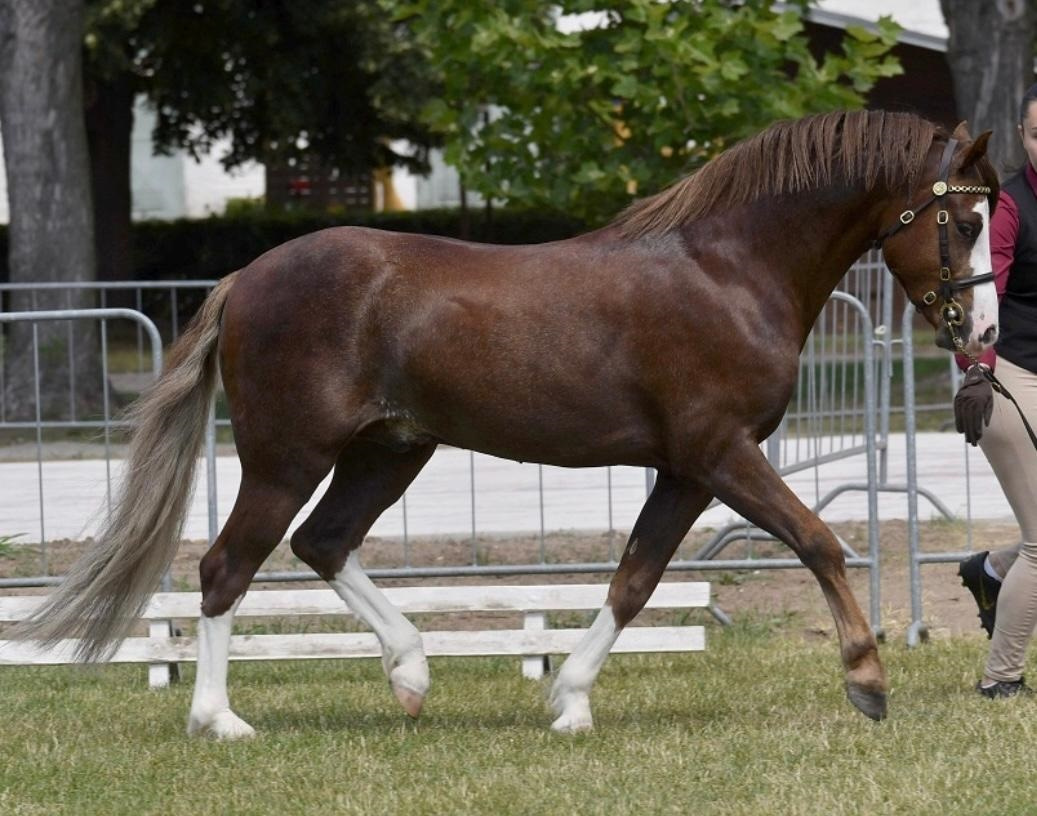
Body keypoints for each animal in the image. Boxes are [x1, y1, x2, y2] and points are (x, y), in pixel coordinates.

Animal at [10, 110, 999, 738]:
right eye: (964, 218)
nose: (982, 333)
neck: (726, 270)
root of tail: (246, 277)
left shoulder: (684, 470)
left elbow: (634, 581)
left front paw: (568, 701)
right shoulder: (722, 454)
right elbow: (818, 541)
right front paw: (866, 681)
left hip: (389, 451)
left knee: (322, 544)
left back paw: (411, 673)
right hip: (287, 456)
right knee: (227, 568)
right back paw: (220, 720)